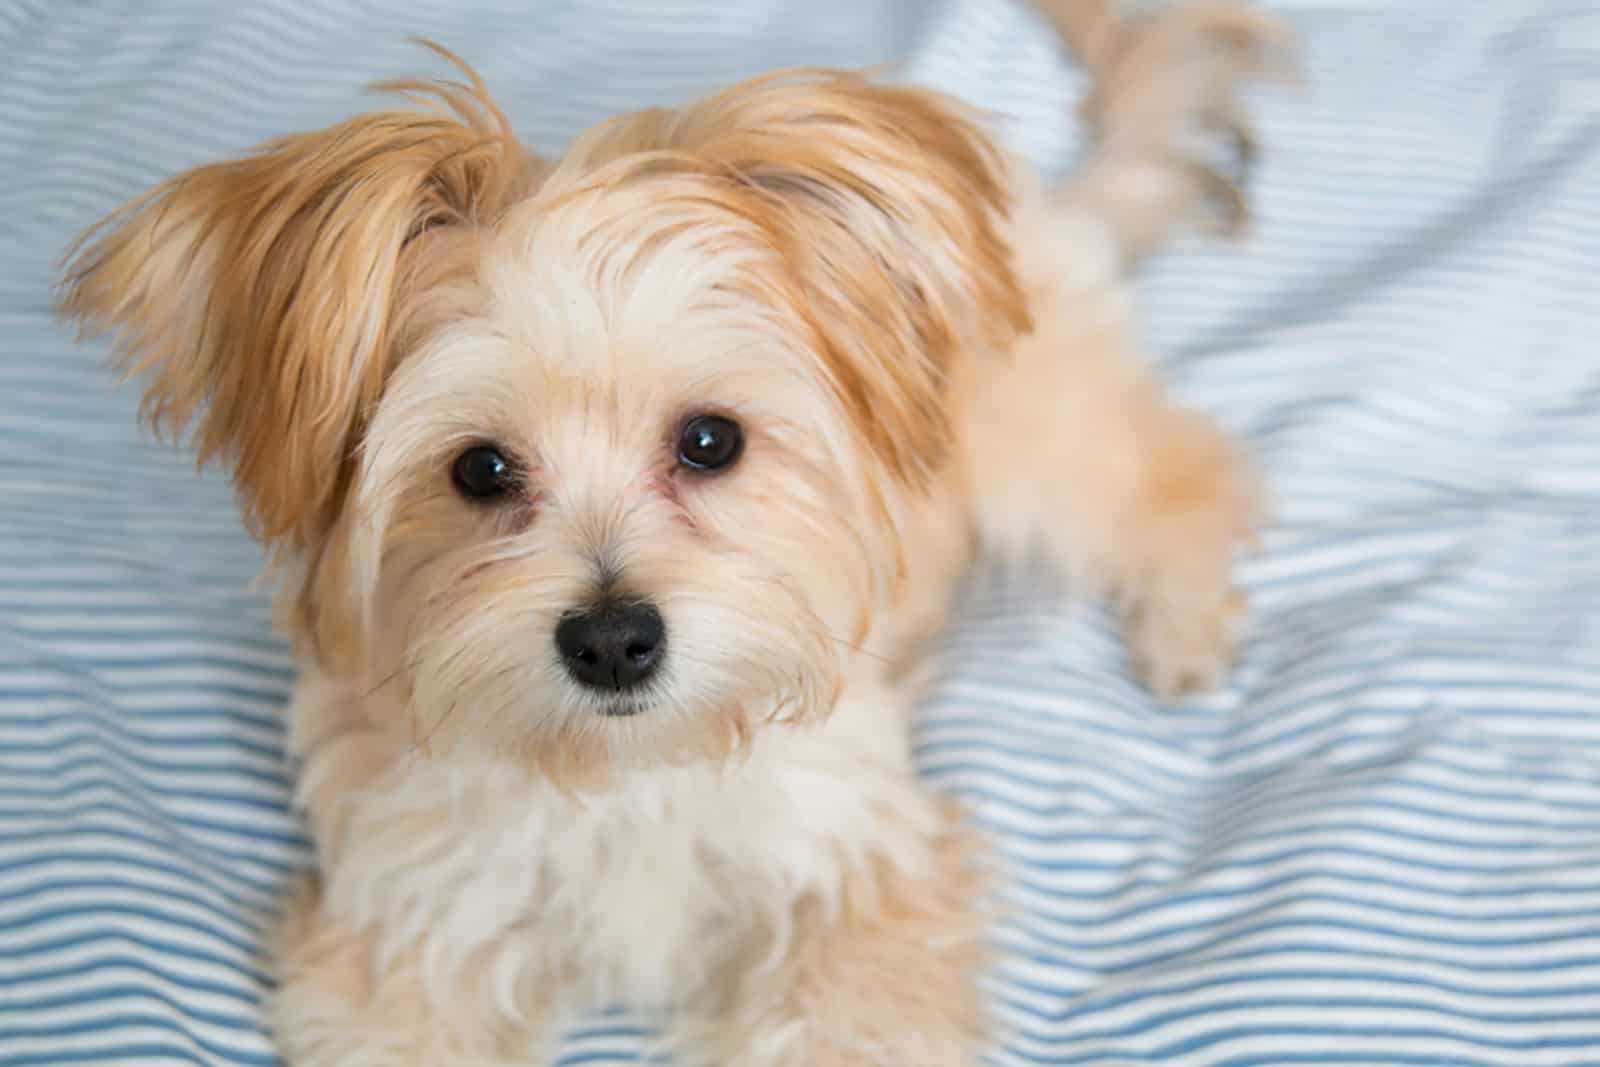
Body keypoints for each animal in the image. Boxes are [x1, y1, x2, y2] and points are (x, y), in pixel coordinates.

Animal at [56, 4, 1292, 1062]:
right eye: (479, 468)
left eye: (710, 441)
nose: (611, 640)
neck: (629, 776)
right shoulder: (404, 926)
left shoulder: (861, 886)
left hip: (1036, 441)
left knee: (1184, 474)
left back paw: (1188, 626)